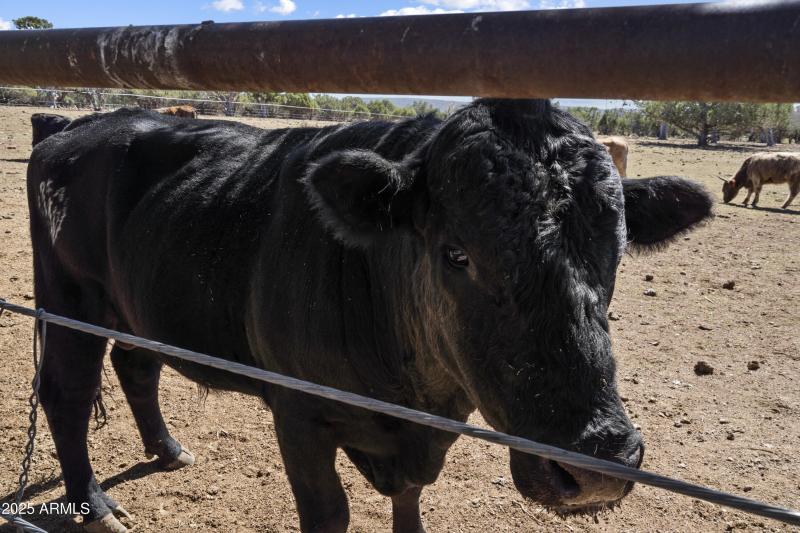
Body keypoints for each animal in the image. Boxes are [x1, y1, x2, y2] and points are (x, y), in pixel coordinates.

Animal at [27, 99, 713, 533]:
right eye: (456, 253)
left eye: (616, 251)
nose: (596, 464)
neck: (412, 404)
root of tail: (69, 129)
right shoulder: (298, 414)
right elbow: (330, 513)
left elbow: (408, 503)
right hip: (69, 302)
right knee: (66, 395)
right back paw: (94, 507)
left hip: (131, 307)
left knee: (137, 368)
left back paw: (168, 450)